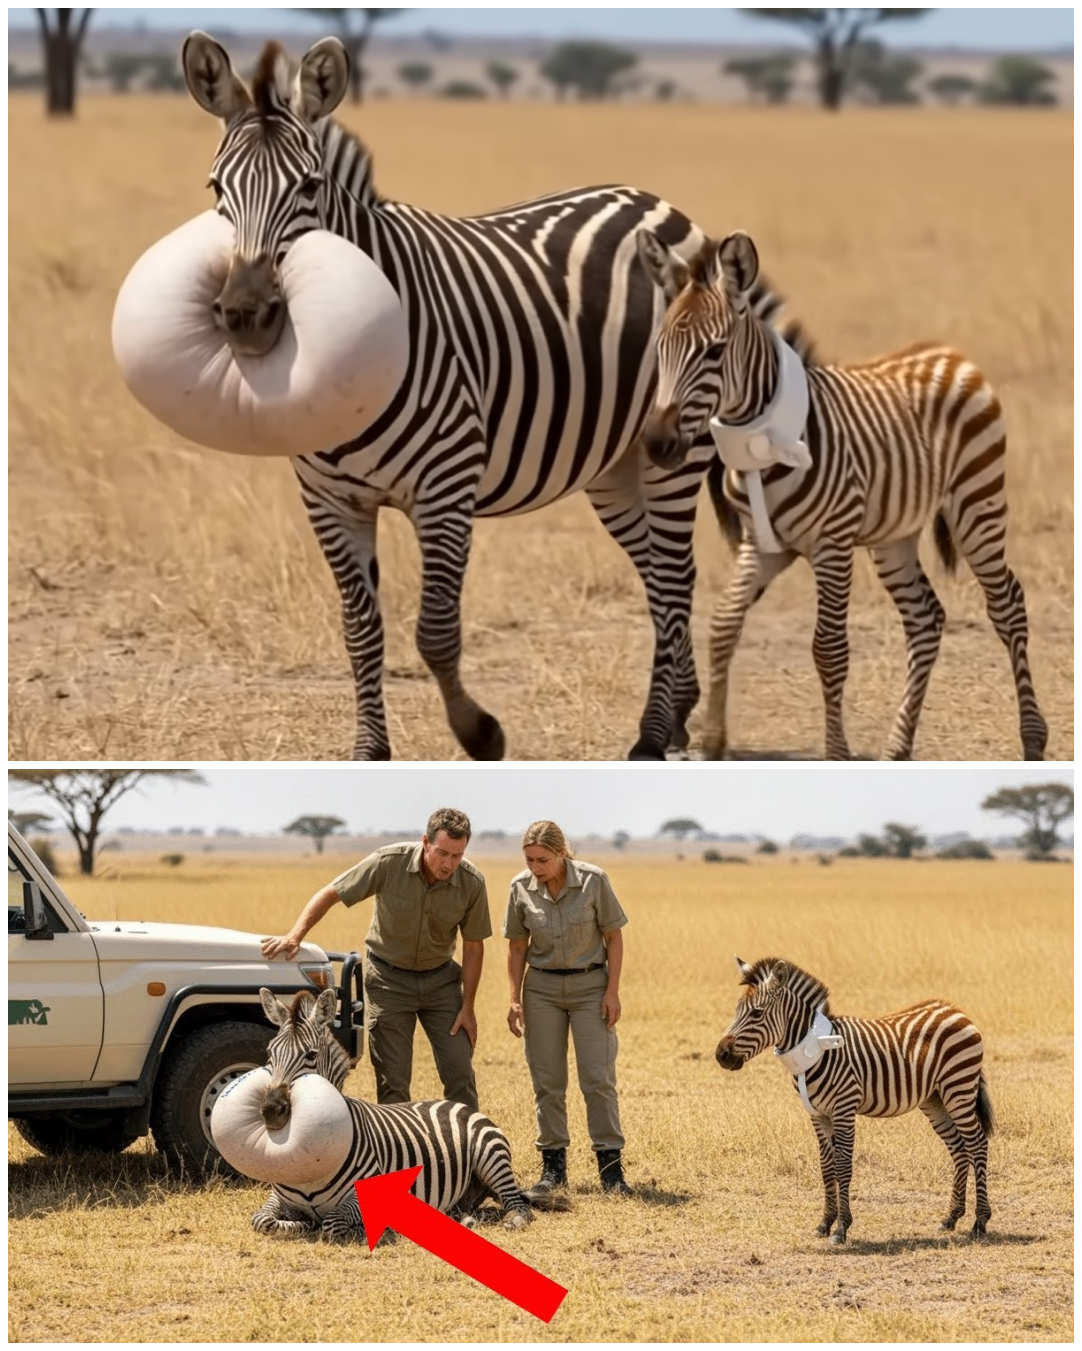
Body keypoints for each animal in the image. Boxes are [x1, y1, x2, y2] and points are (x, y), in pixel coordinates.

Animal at [179, 30, 747, 762]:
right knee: (656, 577)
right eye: (216, 187)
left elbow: (435, 631)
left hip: (673, 451)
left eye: (308, 186)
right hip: (616, 465)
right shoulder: (329, 499)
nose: (246, 315)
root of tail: (655, 201)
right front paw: (370, 751)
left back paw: (651, 736)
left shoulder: (446, 486)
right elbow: (360, 629)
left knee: (676, 580)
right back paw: (675, 714)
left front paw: (480, 732)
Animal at [252, 988, 567, 1242]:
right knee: (470, 1208)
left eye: (311, 1056)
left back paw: (511, 1219)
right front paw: (300, 1224)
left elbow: (332, 1223)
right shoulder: (276, 1199)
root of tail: (457, 1104)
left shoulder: (368, 1196)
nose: (270, 1111)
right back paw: (463, 1219)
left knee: (517, 1205)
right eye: (270, 1052)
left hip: (491, 1157)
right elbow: (262, 1220)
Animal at [636, 226, 1048, 762]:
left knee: (1008, 604)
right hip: (893, 538)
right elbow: (724, 627)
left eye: (714, 351)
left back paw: (1032, 738)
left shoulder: (831, 544)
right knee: (925, 619)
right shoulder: (762, 545)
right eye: (660, 349)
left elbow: (828, 649)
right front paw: (713, 743)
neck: (765, 436)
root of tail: (951, 352)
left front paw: (835, 752)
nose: (657, 444)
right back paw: (897, 748)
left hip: (978, 504)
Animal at [715, 956, 995, 1244]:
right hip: (935, 1099)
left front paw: (841, 1228)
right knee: (959, 1149)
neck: (817, 1047)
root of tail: (955, 1010)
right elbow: (826, 1167)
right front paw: (824, 1223)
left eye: (756, 1014)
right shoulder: (817, 1114)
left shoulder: (844, 1108)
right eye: (737, 1011)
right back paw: (951, 1217)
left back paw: (979, 1222)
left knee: (977, 1144)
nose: (721, 1055)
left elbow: (843, 1166)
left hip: (958, 1088)